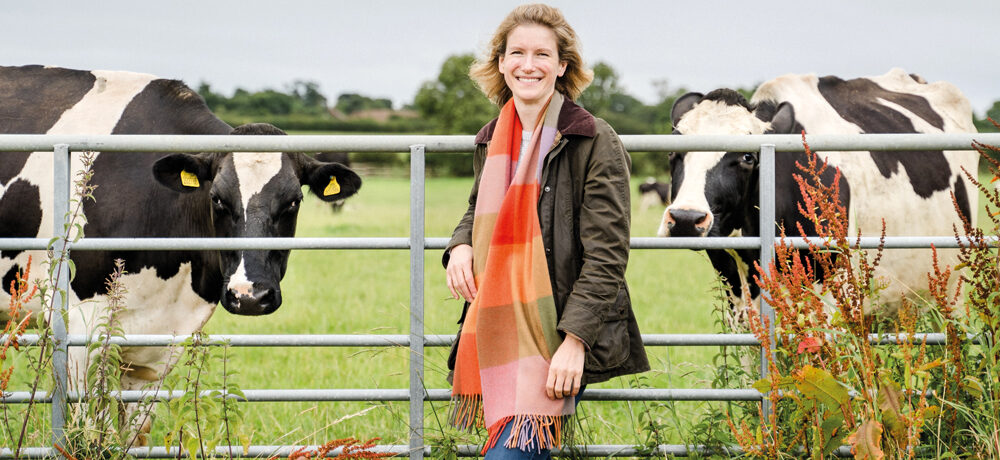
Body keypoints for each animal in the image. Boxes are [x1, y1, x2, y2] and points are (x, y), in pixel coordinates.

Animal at [0, 67, 360, 438]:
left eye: (294, 201)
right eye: (216, 198)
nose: (249, 295)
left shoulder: (156, 346)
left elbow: (132, 433)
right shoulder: (76, 329)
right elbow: (86, 434)